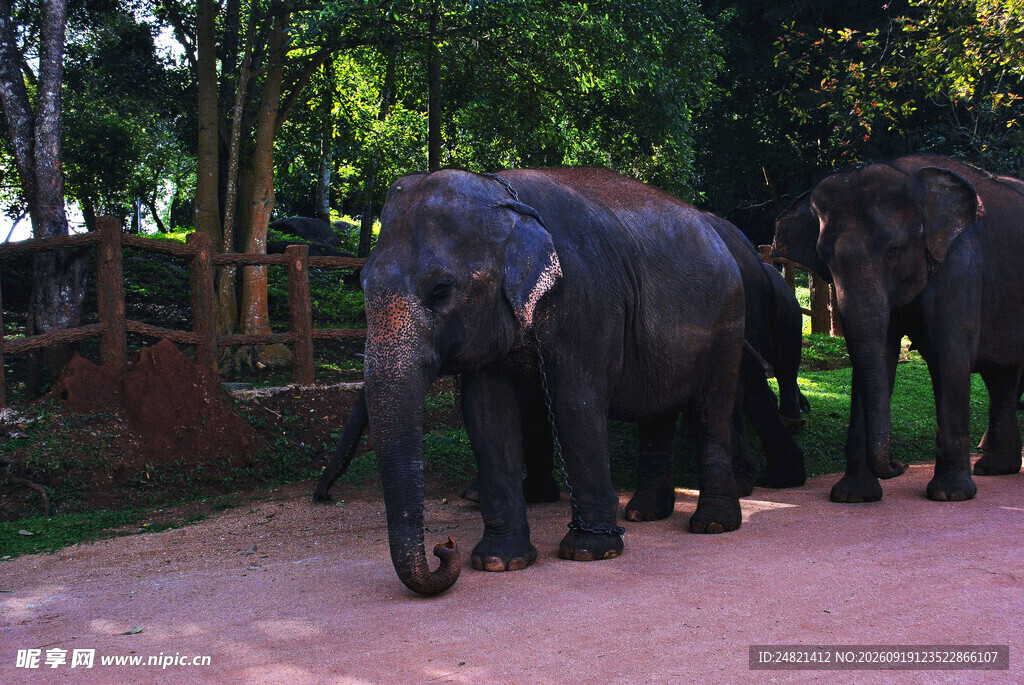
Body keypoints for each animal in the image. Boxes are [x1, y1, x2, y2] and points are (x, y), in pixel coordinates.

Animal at [358, 167, 747, 595]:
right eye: (361, 283)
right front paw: (499, 562)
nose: (444, 547)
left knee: (712, 411)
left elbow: (575, 404)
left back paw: (712, 525)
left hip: (728, 322)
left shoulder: (588, 301)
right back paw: (644, 515)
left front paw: (590, 552)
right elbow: (487, 416)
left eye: (440, 290)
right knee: (658, 412)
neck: (506, 197)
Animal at [772, 154, 1024, 503]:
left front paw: (949, 495)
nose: (900, 465)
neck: (907, 174)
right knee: (1001, 375)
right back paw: (995, 468)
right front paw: (854, 497)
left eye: (894, 250)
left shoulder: (960, 263)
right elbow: (878, 355)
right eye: (824, 257)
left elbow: (949, 357)